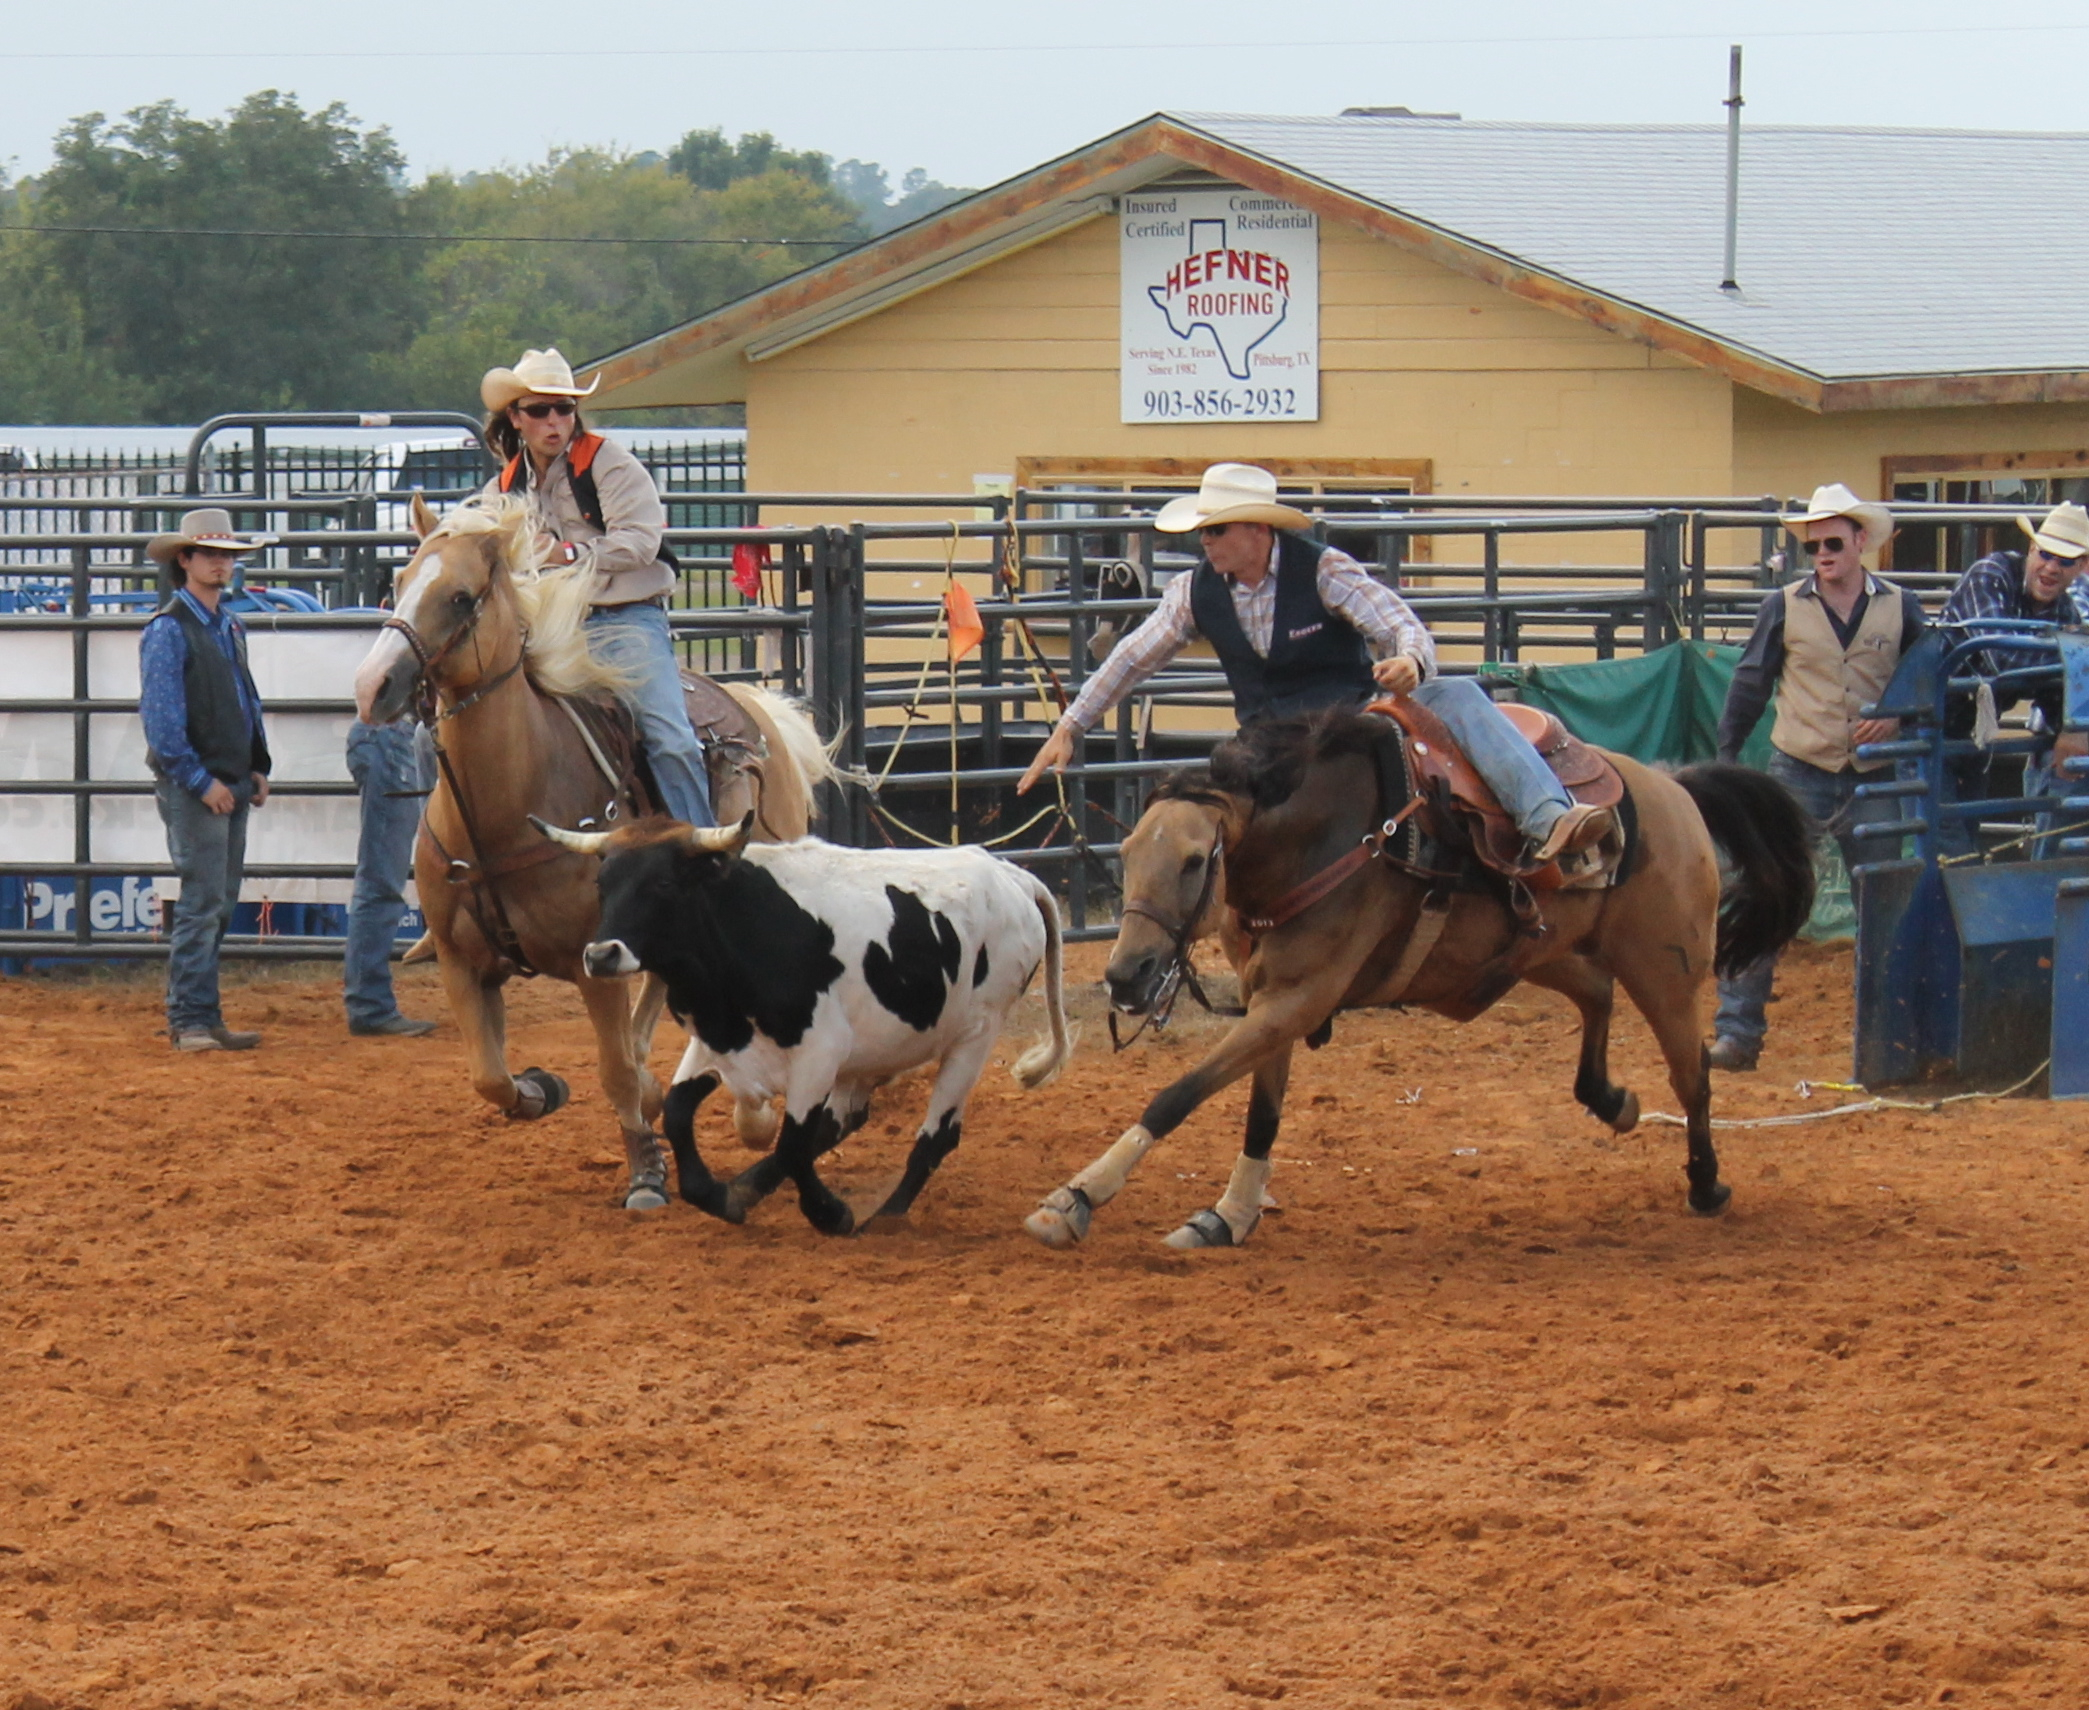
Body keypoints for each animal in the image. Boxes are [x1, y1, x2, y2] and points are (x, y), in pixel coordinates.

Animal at [350, 499, 831, 1219]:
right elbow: (491, 1077)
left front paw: (646, 1176)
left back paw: (753, 1116)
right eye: (400, 579)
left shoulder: (595, 967)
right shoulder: (463, 964)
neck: (504, 810)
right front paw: (542, 1089)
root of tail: (759, 709)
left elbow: (613, 1072)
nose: (371, 685)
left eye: (460, 596)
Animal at [1027, 701, 1813, 1252]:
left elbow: (1177, 1093)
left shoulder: (1297, 1000)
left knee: (1692, 1077)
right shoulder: (1272, 1000)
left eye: (1195, 859)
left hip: (1665, 966)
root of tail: (1672, 786)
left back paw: (1705, 1184)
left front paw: (1076, 1198)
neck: (1330, 841)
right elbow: (1262, 1113)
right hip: (1534, 953)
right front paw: (1228, 1217)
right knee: (1595, 995)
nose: (1127, 974)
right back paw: (1611, 1100)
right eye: (1128, 849)